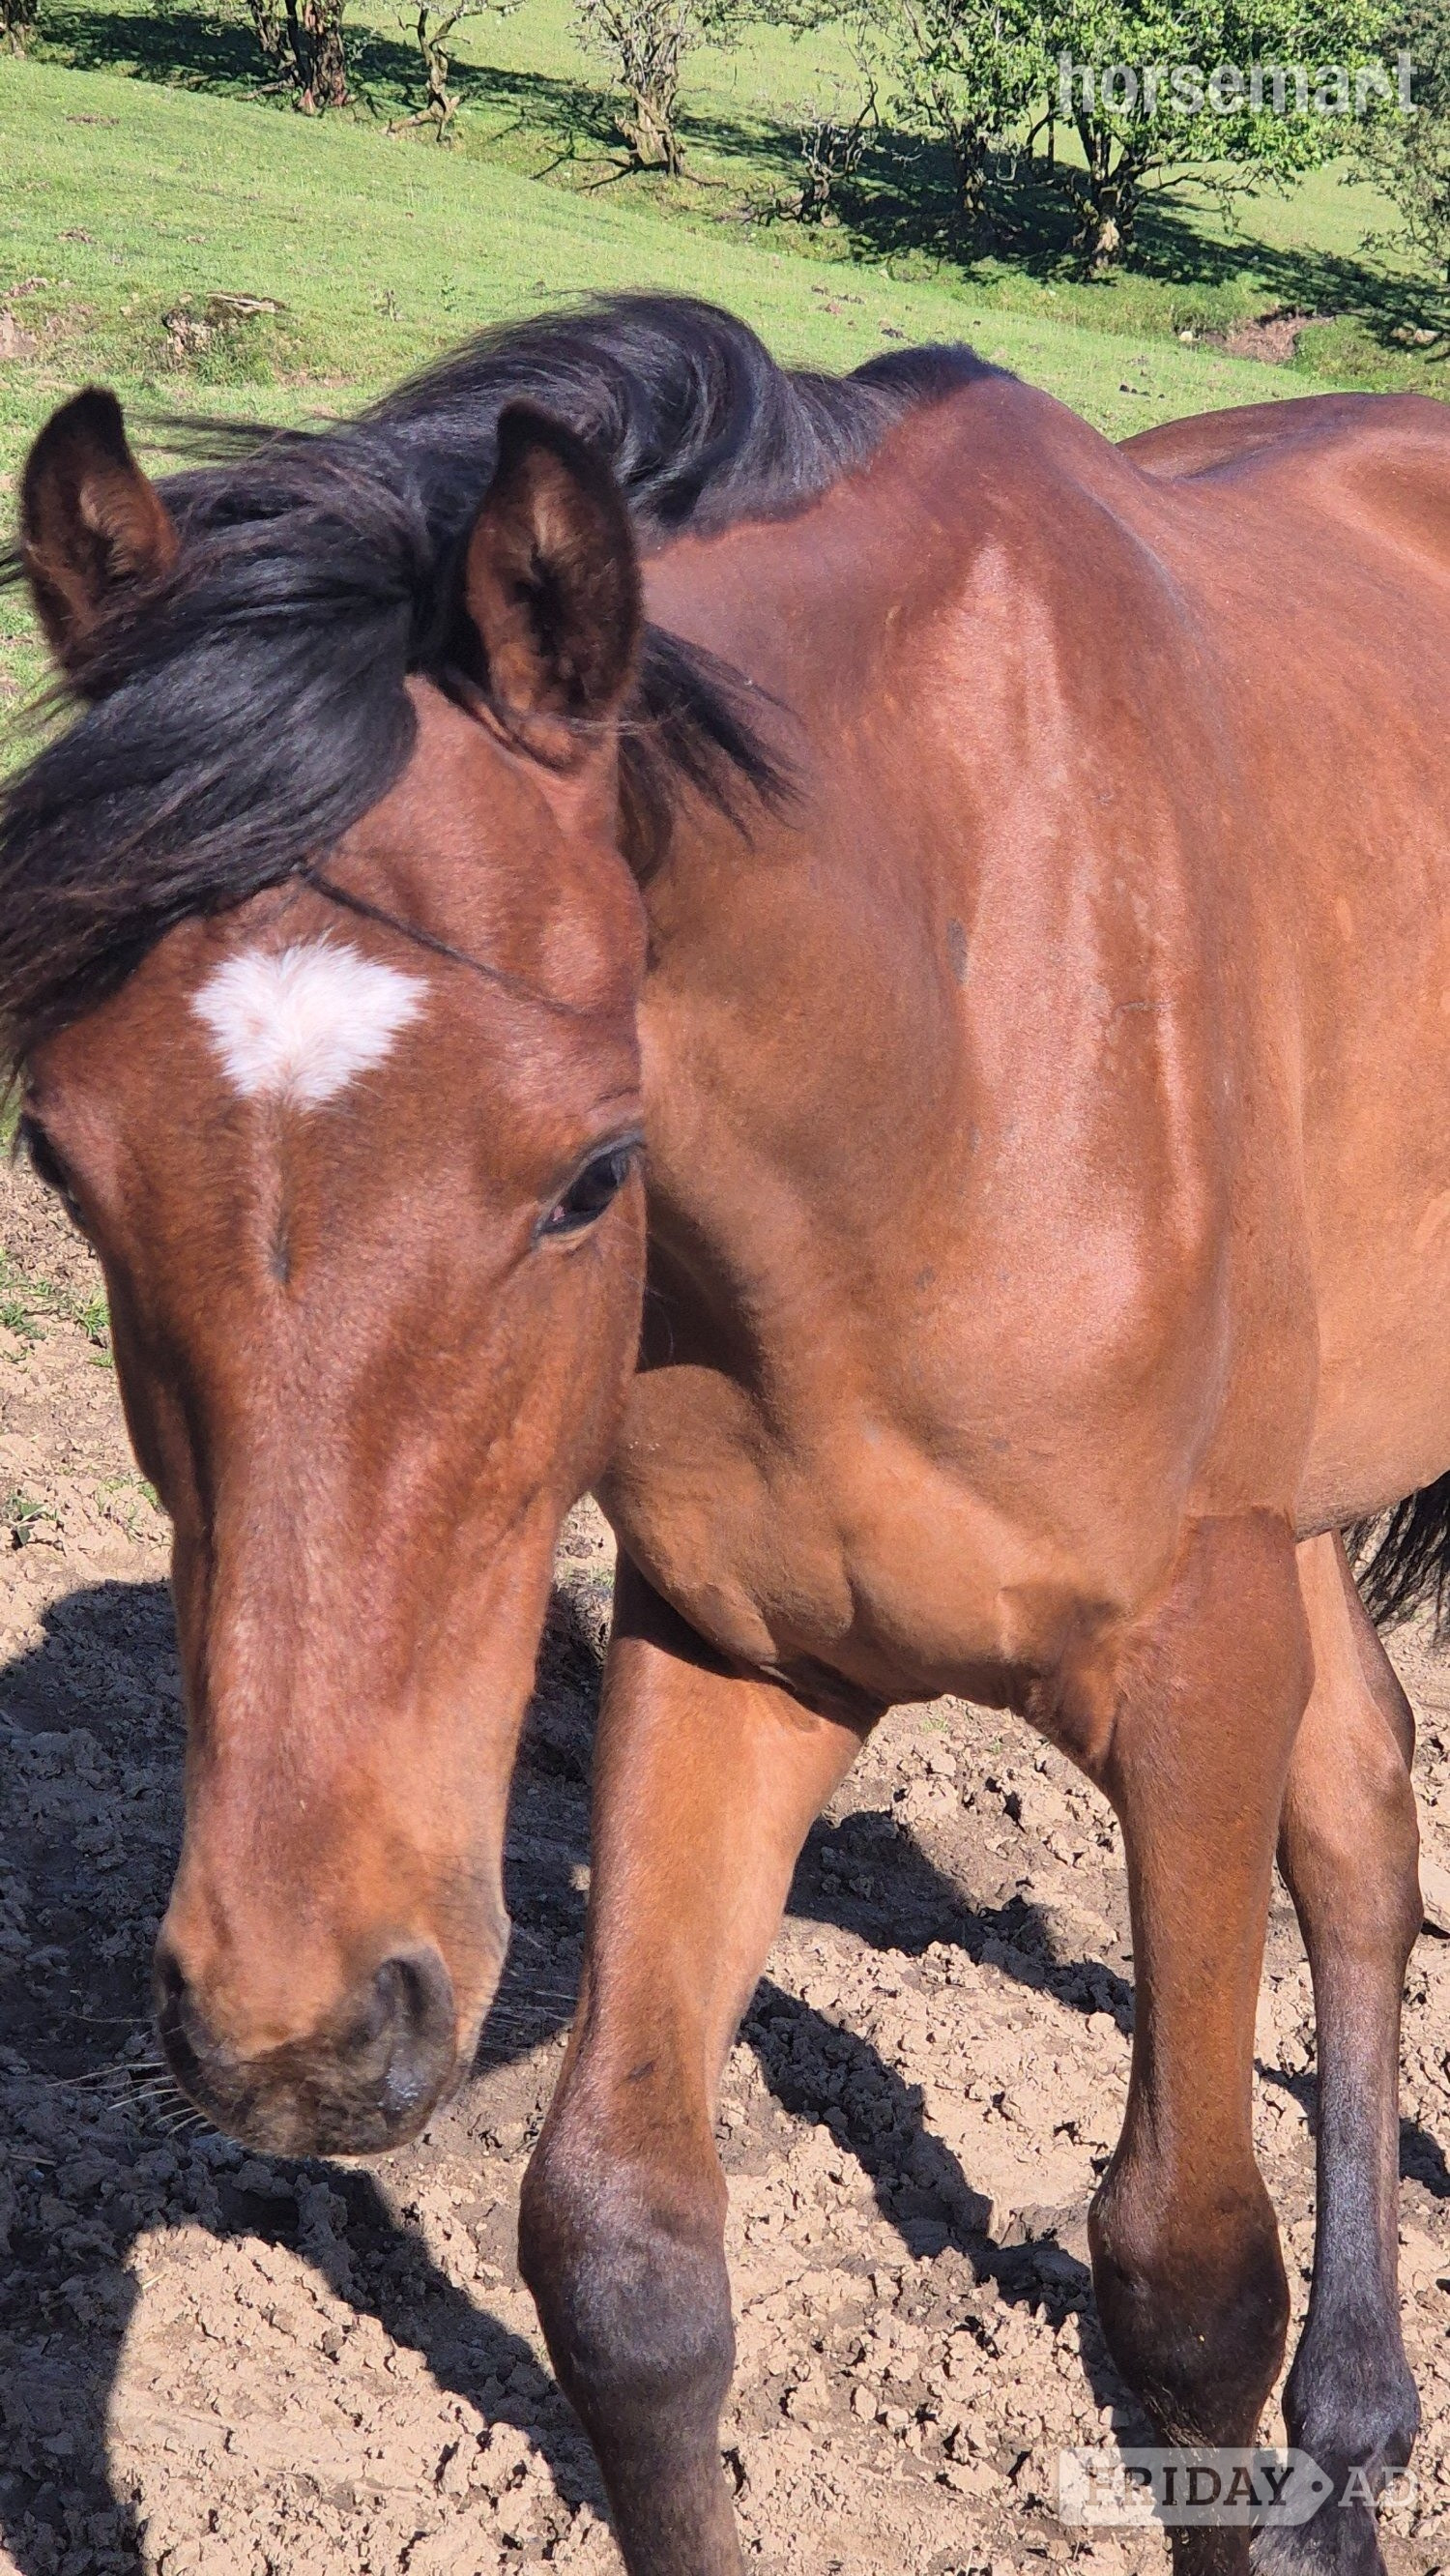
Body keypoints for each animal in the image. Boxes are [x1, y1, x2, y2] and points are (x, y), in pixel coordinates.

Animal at [4, 294, 1449, 2576]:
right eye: (61, 1153)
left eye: (593, 1171)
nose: (299, 2023)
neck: (953, 1034)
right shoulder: (741, 1649)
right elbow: (625, 2256)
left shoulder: (1192, 1672)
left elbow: (1188, 2278)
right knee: (1371, 1816)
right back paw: (1364, 2427)